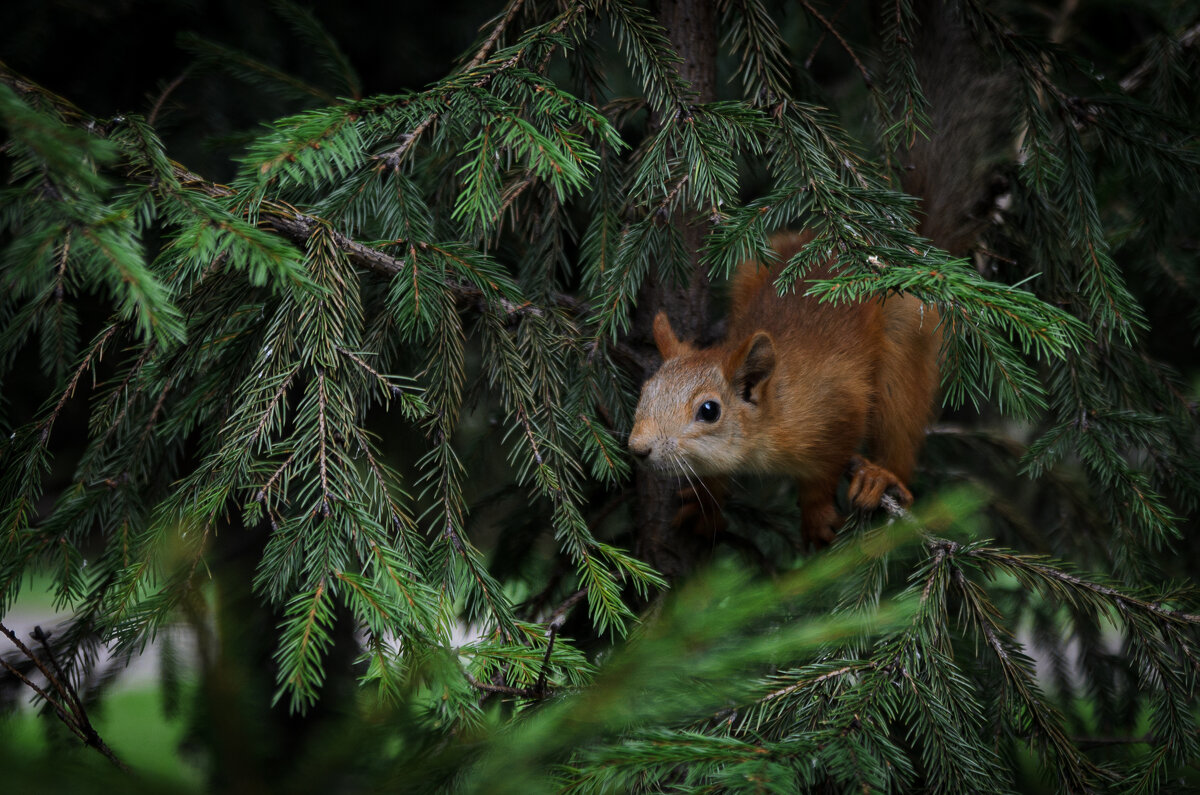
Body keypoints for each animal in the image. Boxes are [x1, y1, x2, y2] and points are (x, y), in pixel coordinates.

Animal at [624, 231, 940, 547]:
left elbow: (824, 472)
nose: (638, 448)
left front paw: (817, 515)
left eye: (710, 410)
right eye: (645, 391)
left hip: (907, 332)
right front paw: (706, 503)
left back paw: (880, 476)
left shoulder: (839, 405)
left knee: (899, 421)